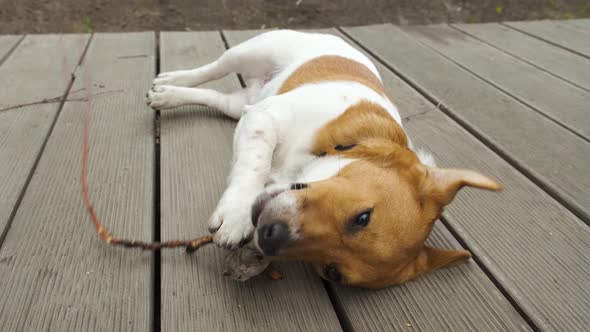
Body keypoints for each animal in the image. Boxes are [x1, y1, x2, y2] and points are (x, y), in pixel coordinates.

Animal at [146, 29, 502, 288]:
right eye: (363, 217)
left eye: (331, 272)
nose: (272, 236)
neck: (352, 140)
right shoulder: (264, 118)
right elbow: (253, 168)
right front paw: (235, 216)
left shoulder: (255, 117)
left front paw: (253, 258)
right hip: (251, 53)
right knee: (210, 70)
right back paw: (170, 82)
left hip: (242, 102)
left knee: (214, 97)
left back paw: (170, 94)